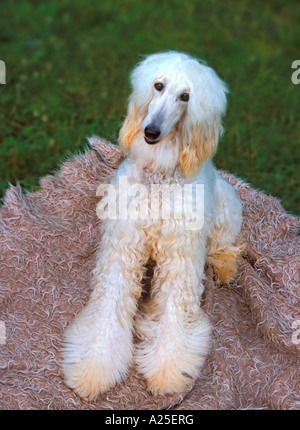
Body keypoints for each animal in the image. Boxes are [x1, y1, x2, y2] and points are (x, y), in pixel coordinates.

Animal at [62, 50, 243, 400]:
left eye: (185, 97)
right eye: (158, 85)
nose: (151, 131)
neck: (160, 175)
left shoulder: (181, 258)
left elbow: (174, 311)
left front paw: (168, 370)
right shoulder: (121, 248)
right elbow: (110, 305)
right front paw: (94, 367)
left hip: (226, 205)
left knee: (224, 245)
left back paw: (224, 268)